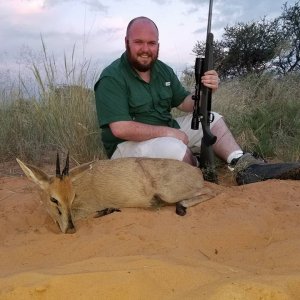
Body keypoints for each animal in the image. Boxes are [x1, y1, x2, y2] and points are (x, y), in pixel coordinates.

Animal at [16, 154, 216, 233]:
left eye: (73, 197)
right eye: (53, 198)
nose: (70, 229)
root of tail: (196, 170)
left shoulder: (84, 208)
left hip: (171, 193)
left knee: (211, 190)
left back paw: (181, 207)